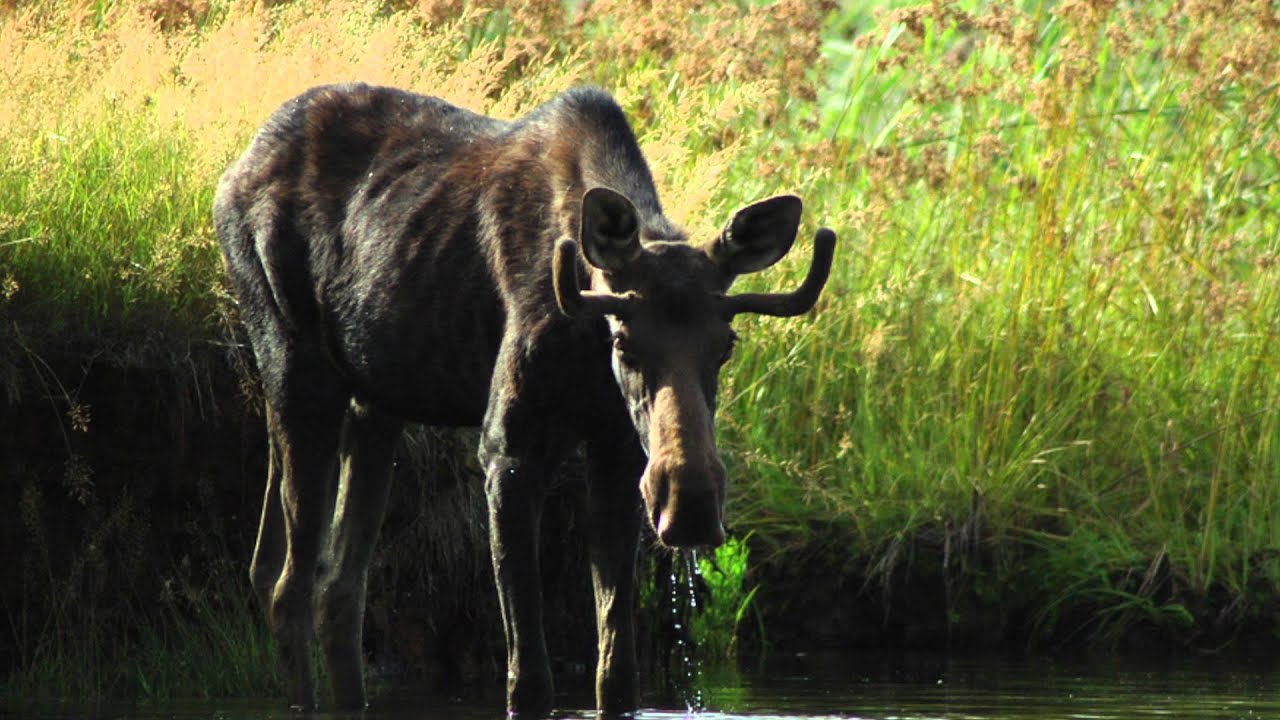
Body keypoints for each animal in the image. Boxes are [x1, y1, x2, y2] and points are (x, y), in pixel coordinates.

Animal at [215, 83, 834, 712]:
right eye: (623, 341)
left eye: (727, 344)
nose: (690, 506)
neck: (585, 340)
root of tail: (236, 168)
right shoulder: (507, 450)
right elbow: (529, 678)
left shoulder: (616, 451)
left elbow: (617, 673)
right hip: (294, 364)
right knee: (288, 585)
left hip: (376, 402)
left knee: (334, 585)